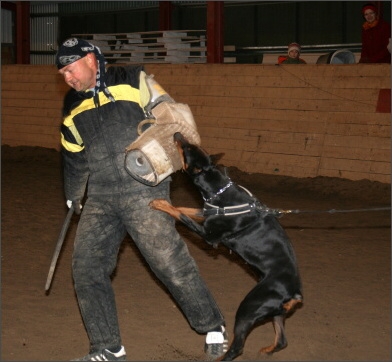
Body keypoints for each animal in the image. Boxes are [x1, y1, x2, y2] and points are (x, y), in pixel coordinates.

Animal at [150, 133, 304, 362]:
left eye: (187, 149)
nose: (177, 135)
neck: (219, 189)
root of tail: (294, 294)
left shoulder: (208, 236)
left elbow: (182, 215)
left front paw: (161, 204)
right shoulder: (206, 212)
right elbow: (186, 209)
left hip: (250, 307)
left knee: (237, 347)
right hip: (275, 312)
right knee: (282, 341)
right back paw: (268, 350)